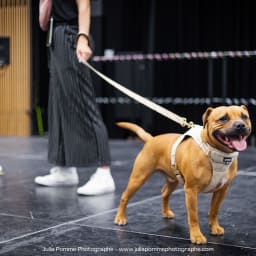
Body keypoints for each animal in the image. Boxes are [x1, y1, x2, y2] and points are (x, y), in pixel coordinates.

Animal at [115, 105, 251, 244]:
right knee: (124, 196)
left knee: (164, 193)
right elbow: (193, 216)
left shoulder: (222, 190)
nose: (240, 125)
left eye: (244, 117)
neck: (215, 152)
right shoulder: (191, 191)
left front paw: (214, 227)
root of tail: (151, 139)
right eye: (223, 118)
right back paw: (120, 218)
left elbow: (214, 210)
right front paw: (196, 236)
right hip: (138, 178)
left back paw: (166, 212)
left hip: (173, 181)